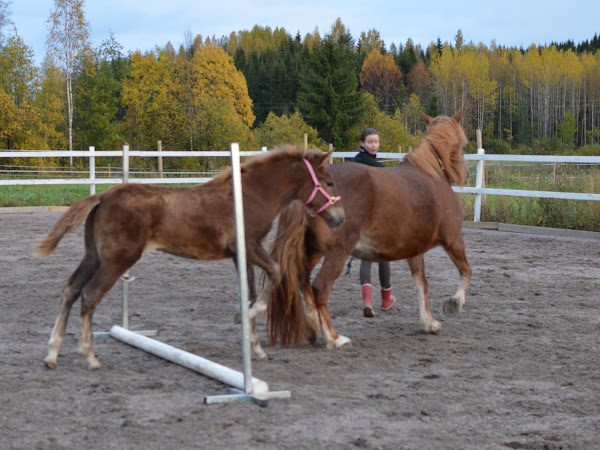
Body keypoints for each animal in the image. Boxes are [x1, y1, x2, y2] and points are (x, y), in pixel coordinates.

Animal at [37, 148, 344, 370]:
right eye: (329, 182)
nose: (340, 218)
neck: (252, 195)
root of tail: (102, 197)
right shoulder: (249, 245)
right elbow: (275, 272)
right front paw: (244, 317)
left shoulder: (240, 254)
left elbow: (250, 293)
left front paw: (256, 348)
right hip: (117, 260)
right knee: (89, 295)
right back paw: (89, 356)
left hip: (94, 256)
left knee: (70, 289)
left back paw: (52, 355)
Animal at [260, 111, 472, 352]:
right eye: (463, 144)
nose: (467, 174)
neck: (431, 174)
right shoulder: (453, 240)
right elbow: (466, 272)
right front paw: (454, 303)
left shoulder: (415, 249)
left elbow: (422, 284)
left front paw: (428, 322)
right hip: (337, 253)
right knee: (319, 288)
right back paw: (334, 338)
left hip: (312, 250)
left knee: (303, 283)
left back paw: (314, 327)